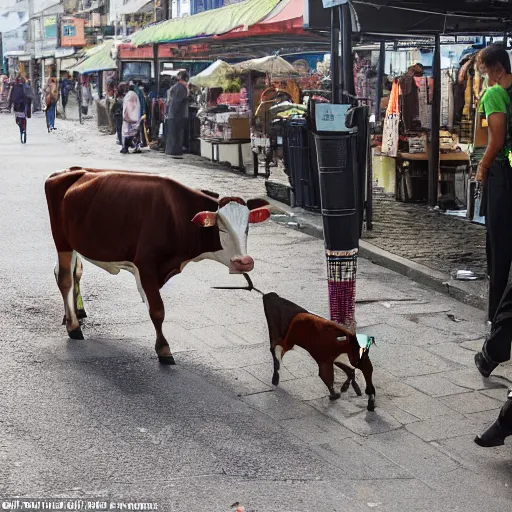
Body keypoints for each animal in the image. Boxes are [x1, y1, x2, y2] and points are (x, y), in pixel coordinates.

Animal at [44, 168, 272, 364]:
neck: (178, 217)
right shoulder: (146, 266)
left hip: (75, 242)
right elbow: (157, 310)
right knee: (65, 279)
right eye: (221, 227)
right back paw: (73, 327)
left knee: (74, 273)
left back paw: (75, 313)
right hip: (62, 241)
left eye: (247, 227)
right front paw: (164, 350)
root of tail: (70, 171)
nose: (243, 261)